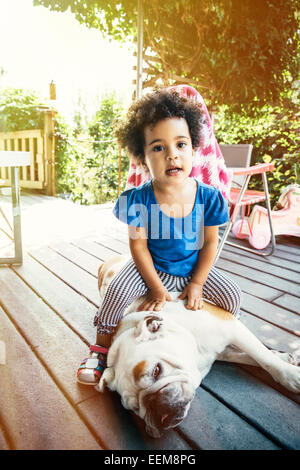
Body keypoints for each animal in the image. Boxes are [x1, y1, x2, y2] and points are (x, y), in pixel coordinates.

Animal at [96, 255, 300, 438]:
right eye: (135, 408)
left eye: (156, 370)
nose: (156, 409)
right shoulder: (225, 348)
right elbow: (249, 356)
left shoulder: (231, 327)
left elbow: (263, 357)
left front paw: (290, 375)